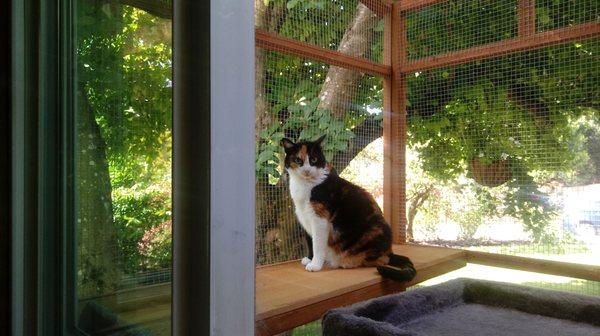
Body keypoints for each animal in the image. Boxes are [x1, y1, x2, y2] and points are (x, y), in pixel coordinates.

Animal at [282, 135, 418, 282]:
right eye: (298, 160)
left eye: (313, 159)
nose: (307, 170)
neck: (304, 185)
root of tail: (390, 251)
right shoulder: (304, 217)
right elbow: (310, 241)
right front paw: (309, 259)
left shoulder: (319, 219)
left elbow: (317, 244)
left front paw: (315, 265)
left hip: (375, 230)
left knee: (383, 260)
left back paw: (346, 262)